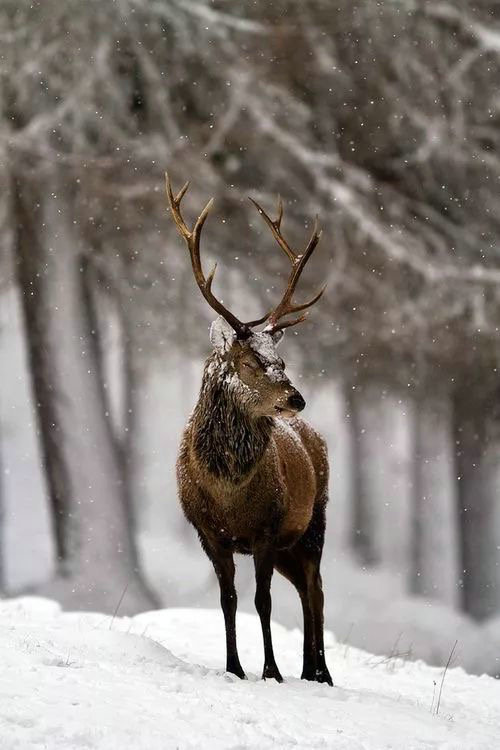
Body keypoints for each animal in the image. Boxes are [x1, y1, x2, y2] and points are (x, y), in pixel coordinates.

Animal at [167, 172, 332, 688]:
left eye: (282, 359)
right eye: (251, 362)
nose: (296, 399)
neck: (229, 494)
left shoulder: (264, 529)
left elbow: (262, 601)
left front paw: (271, 671)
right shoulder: (210, 534)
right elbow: (229, 600)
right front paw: (235, 668)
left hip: (313, 522)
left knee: (315, 588)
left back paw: (320, 672)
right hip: (288, 545)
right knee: (305, 588)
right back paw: (309, 668)